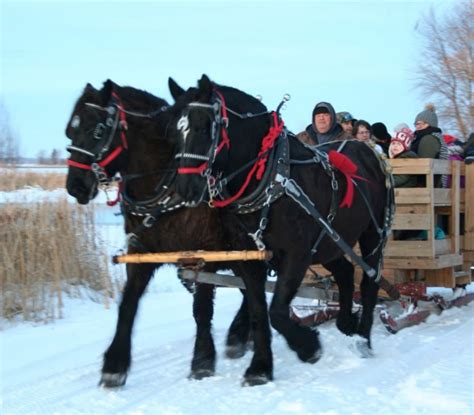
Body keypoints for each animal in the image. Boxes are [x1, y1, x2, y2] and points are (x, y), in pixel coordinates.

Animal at [64, 80, 264, 386]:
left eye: (97, 130)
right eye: (70, 131)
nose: (75, 185)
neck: (165, 185)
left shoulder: (203, 253)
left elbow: (202, 309)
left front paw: (202, 360)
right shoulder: (140, 253)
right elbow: (128, 304)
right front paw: (114, 364)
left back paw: (240, 334)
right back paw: (242, 334)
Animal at [165, 75, 394, 386]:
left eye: (204, 125)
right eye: (174, 131)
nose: (185, 189)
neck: (272, 176)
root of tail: (368, 151)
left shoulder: (296, 255)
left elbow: (277, 312)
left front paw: (308, 347)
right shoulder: (249, 258)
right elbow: (260, 312)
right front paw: (260, 368)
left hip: (372, 234)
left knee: (370, 282)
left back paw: (364, 340)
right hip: (329, 240)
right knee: (346, 272)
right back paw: (346, 322)